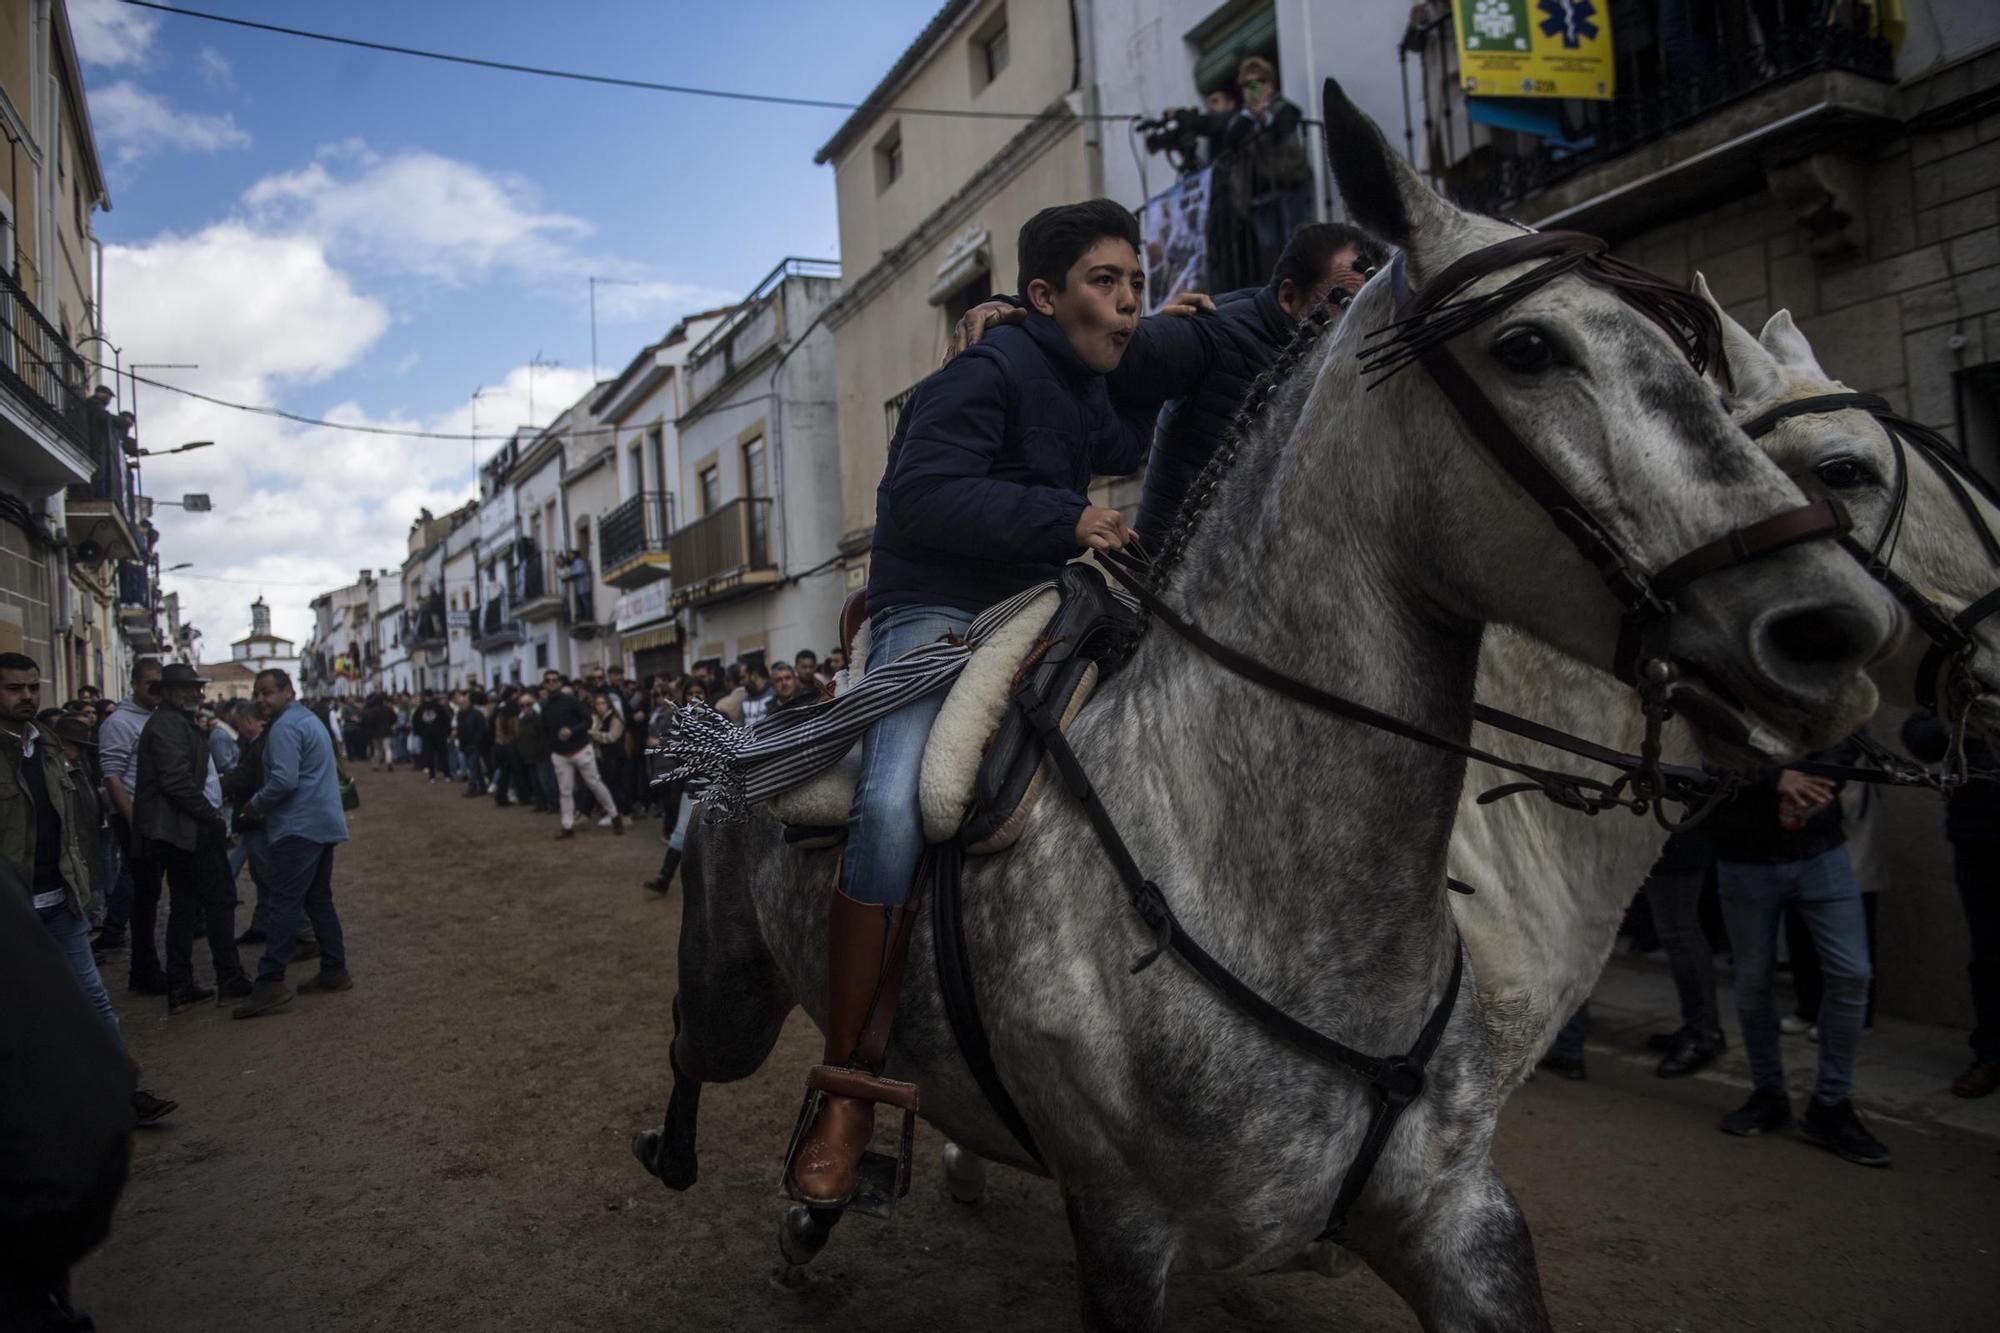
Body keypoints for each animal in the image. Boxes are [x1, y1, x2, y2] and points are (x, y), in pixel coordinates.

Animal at [652, 85, 1888, 1328]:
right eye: (1527, 348)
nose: (1831, 626)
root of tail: (752, 739)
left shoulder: (1455, 1214)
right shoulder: (1122, 1233)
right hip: (731, 996)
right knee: (698, 1054)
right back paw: (774, 1167)